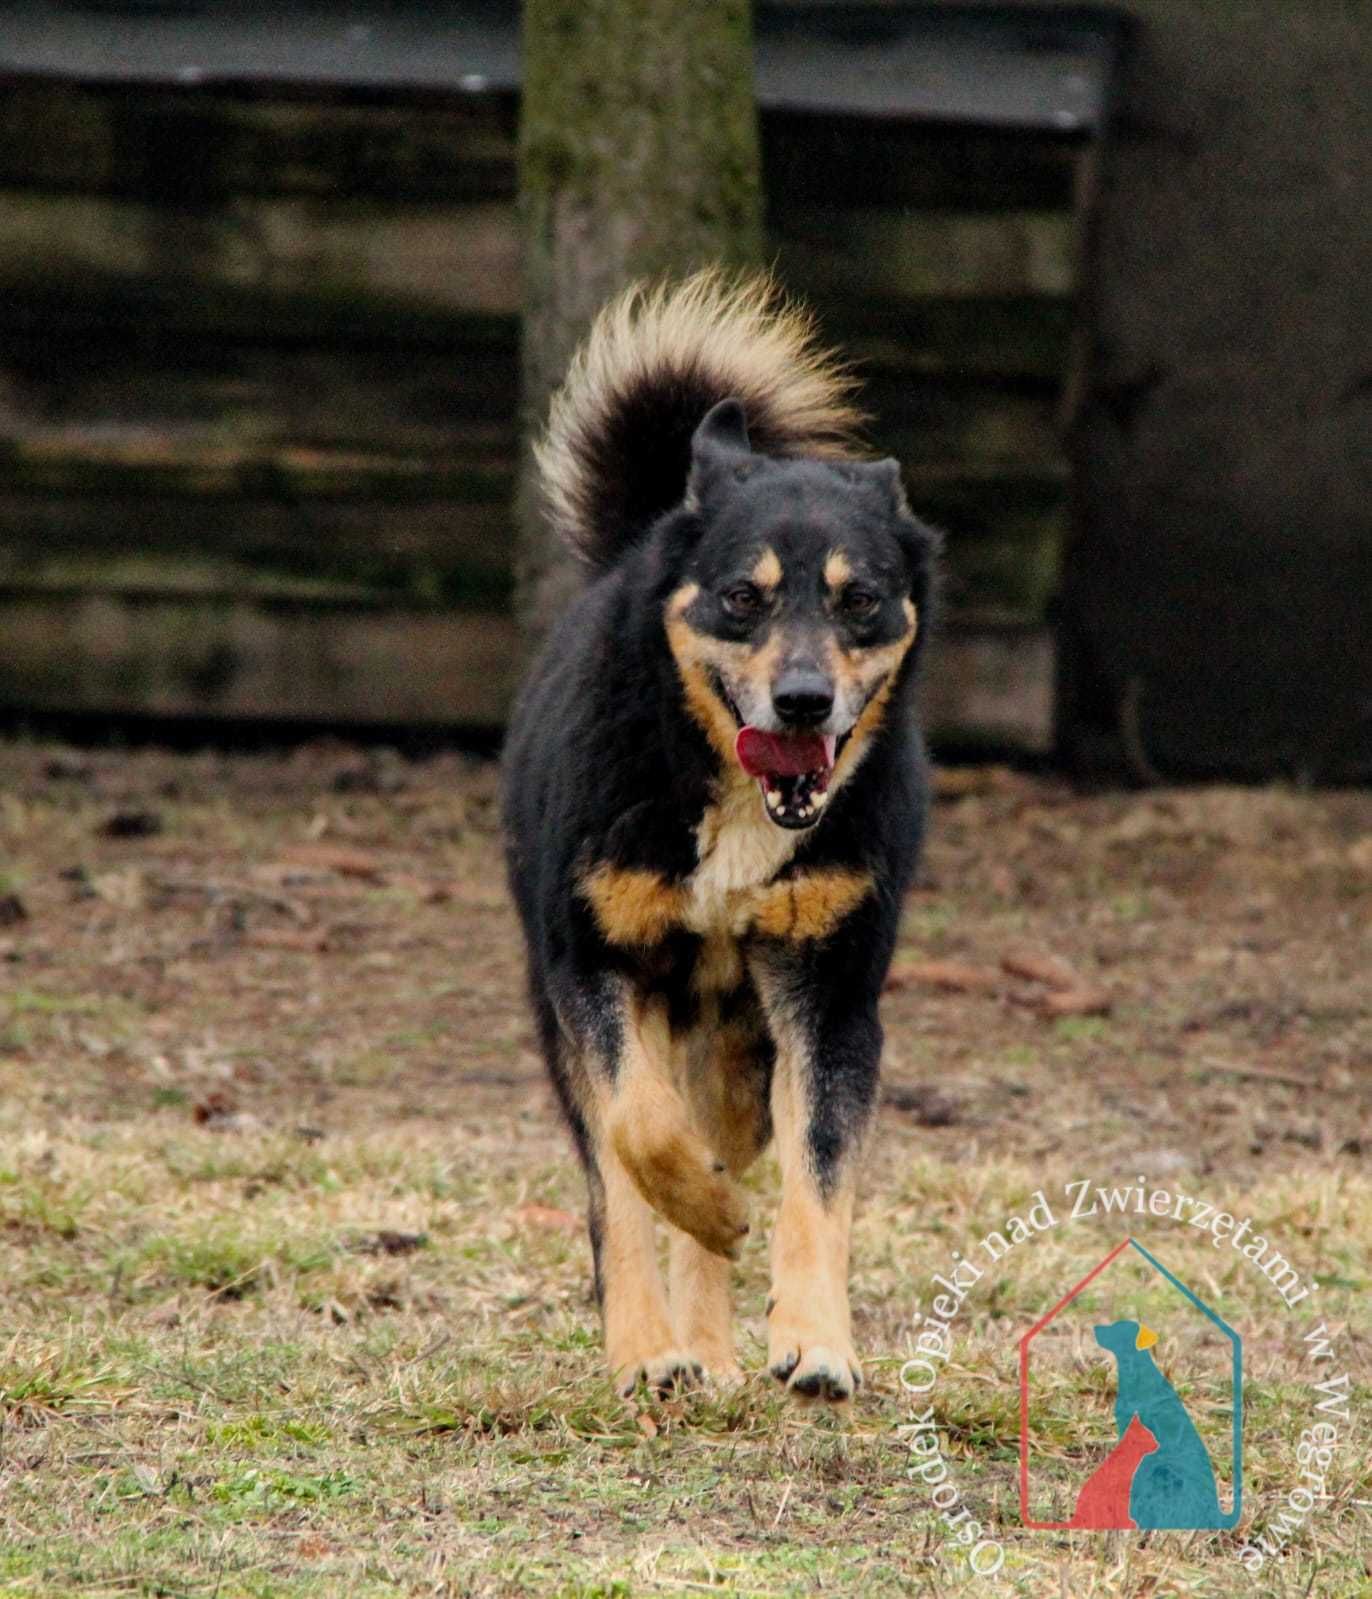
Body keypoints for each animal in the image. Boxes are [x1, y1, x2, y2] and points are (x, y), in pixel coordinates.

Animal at [505, 271, 940, 1400]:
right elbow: (639, 1133)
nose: (803, 702)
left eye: (860, 600)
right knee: (614, 1179)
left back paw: (703, 1342)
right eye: (745, 596)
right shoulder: (593, 964)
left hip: (742, 1050)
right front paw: (700, 1213)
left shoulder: (830, 997)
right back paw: (649, 1349)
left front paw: (817, 1339)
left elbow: (819, 1174)